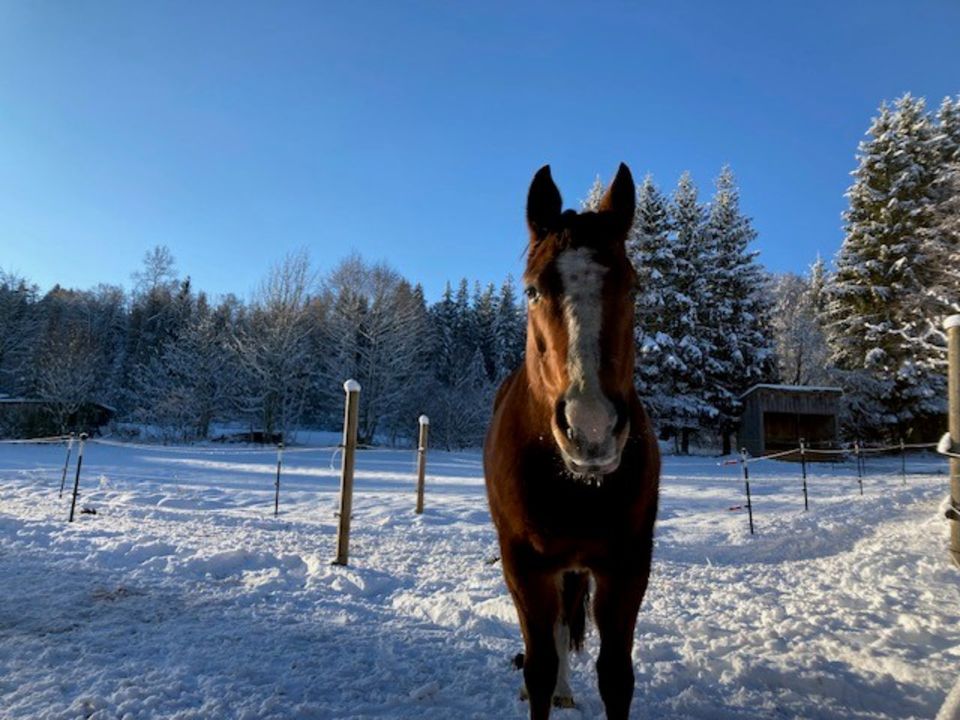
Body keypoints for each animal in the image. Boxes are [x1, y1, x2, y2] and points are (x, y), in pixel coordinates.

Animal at [484, 165, 664, 720]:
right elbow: (540, 667)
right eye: (532, 291)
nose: (592, 427)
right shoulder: (525, 566)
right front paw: (544, 687)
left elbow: (617, 677)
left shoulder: (627, 566)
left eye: (634, 287)